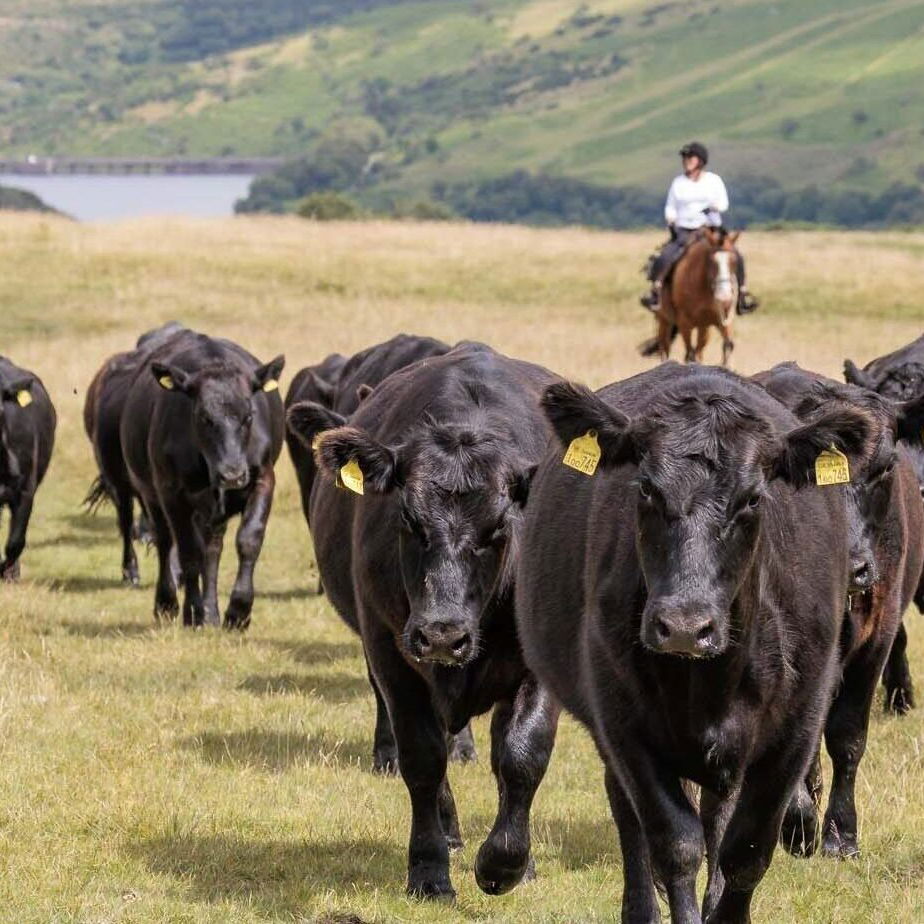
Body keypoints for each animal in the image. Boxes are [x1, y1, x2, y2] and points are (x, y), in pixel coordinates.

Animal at [121, 330, 284, 628]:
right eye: (203, 417)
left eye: (248, 416)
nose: (232, 474)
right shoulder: (171, 492)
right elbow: (187, 552)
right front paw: (193, 611)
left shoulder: (263, 479)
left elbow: (249, 540)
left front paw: (238, 610)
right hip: (151, 494)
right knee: (166, 541)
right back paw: (168, 604)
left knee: (212, 549)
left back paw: (212, 612)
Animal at [287, 344, 561, 900]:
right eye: (408, 520)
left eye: (499, 527)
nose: (442, 635)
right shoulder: (392, 652)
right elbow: (422, 759)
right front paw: (430, 869)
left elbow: (522, 755)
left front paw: (507, 864)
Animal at [516, 362, 874, 923]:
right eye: (645, 488)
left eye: (753, 499)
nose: (684, 626)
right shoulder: (624, 725)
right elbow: (674, 845)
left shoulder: (796, 728)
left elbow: (746, 849)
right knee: (632, 816)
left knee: (718, 815)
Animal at [640, 228, 740, 365]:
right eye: (711, 261)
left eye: (734, 262)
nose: (724, 297)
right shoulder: (684, 322)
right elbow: (690, 354)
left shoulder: (722, 320)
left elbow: (728, 345)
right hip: (664, 320)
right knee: (665, 348)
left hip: (703, 326)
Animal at [754, 363, 924, 858]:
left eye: (885, 466)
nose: (852, 565)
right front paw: (799, 823)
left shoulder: (878, 635)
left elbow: (848, 735)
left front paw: (840, 833)